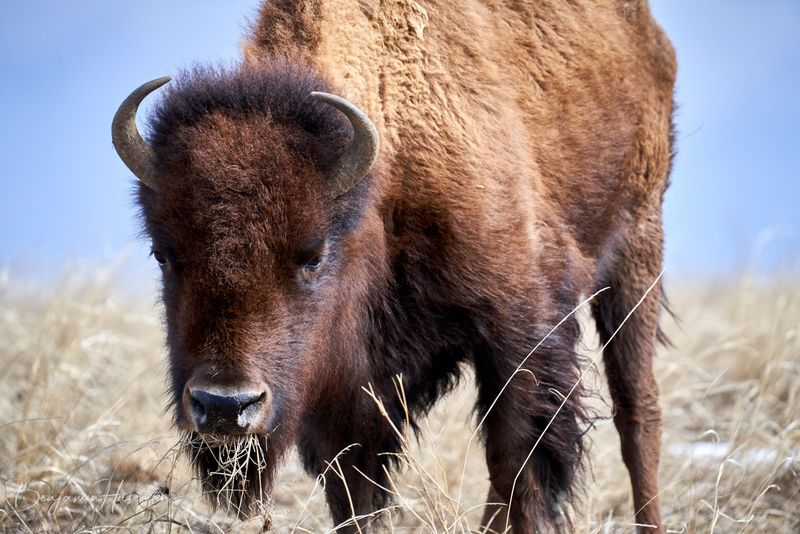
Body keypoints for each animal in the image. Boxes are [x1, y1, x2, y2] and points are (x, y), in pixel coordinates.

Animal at [112, 1, 676, 532]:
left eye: (314, 255)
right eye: (163, 254)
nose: (225, 406)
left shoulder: (521, 332)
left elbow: (521, 469)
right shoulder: (352, 392)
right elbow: (354, 494)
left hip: (637, 250)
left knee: (637, 414)